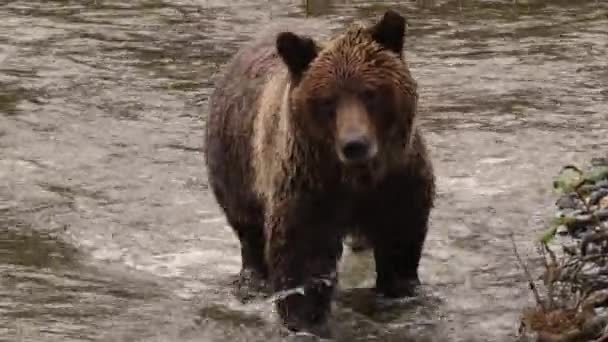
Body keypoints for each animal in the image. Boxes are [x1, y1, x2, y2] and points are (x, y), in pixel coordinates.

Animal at [207, 10, 434, 336]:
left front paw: (400, 291)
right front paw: (304, 320)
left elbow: (399, 239)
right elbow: (303, 257)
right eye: (328, 99)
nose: (355, 144)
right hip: (237, 165)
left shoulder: (397, 181)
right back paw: (251, 282)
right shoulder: (308, 186)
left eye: (370, 93)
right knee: (249, 233)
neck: (356, 178)